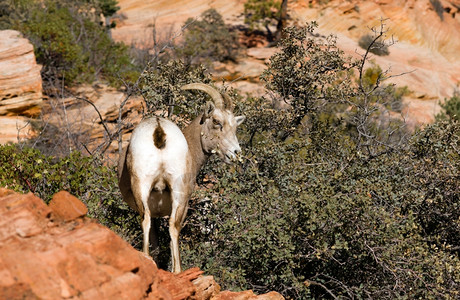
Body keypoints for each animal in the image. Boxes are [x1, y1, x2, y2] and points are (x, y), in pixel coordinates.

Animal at [117, 83, 244, 274]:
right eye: (216, 122)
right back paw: (176, 270)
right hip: (177, 191)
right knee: (170, 225)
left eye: (235, 126)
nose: (235, 153)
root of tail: (159, 129)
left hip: (146, 186)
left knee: (151, 221)